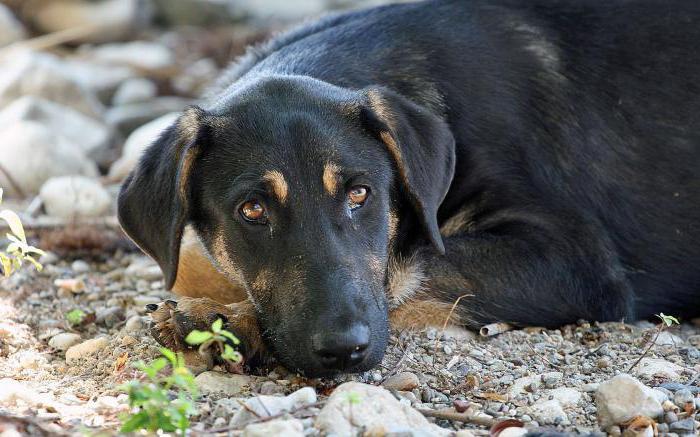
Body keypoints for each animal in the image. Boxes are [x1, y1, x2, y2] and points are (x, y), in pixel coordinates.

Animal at [117, 0, 700, 374]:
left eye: (360, 194)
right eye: (252, 210)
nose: (343, 351)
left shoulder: (576, 259)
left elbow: (412, 266)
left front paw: (227, 322)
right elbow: (193, 261)